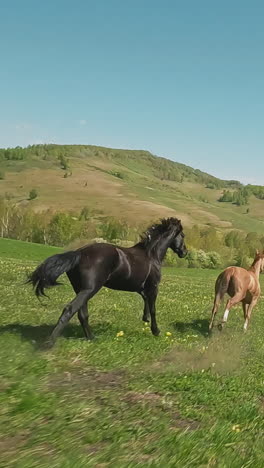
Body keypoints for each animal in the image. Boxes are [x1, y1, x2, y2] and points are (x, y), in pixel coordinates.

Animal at [27, 218, 188, 346]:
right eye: (183, 235)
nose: (185, 252)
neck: (151, 254)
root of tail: (79, 253)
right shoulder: (153, 287)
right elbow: (153, 308)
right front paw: (156, 331)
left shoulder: (141, 287)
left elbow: (145, 301)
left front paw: (145, 318)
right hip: (90, 289)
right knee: (70, 309)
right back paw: (49, 343)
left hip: (80, 289)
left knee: (82, 314)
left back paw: (91, 338)